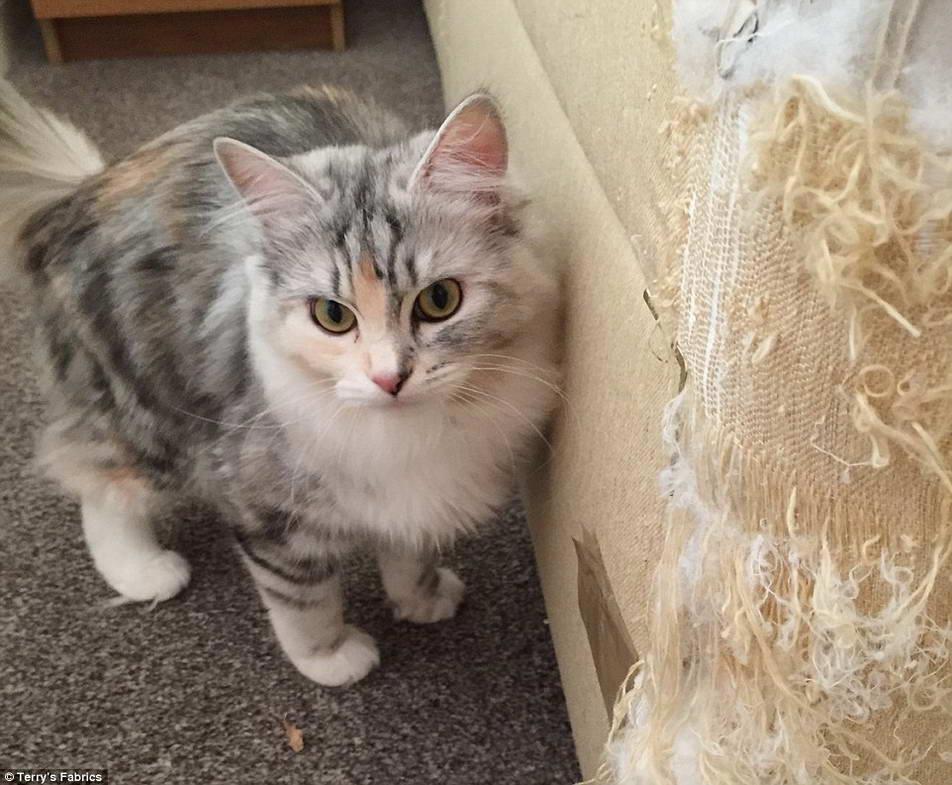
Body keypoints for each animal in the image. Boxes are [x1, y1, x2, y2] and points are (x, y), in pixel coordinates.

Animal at [0, 82, 560, 687]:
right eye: (332, 316)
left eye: (439, 300)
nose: (389, 378)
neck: (410, 435)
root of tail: (82, 188)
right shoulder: (266, 505)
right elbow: (303, 601)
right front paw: (332, 659)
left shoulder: (418, 496)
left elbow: (409, 555)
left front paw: (422, 599)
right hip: (142, 405)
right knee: (98, 482)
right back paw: (143, 571)